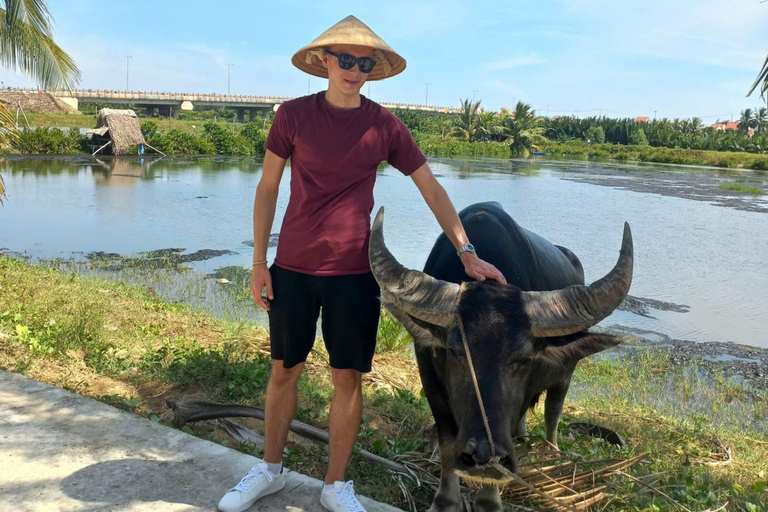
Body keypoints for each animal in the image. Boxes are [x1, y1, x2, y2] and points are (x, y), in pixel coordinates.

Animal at [368, 202, 632, 512]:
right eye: (455, 352)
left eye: (525, 359)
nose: (483, 453)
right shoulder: (430, 380)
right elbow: (446, 440)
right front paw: (445, 501)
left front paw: (488, 500)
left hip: (566, 375)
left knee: (553, 412)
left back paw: (552, 452)